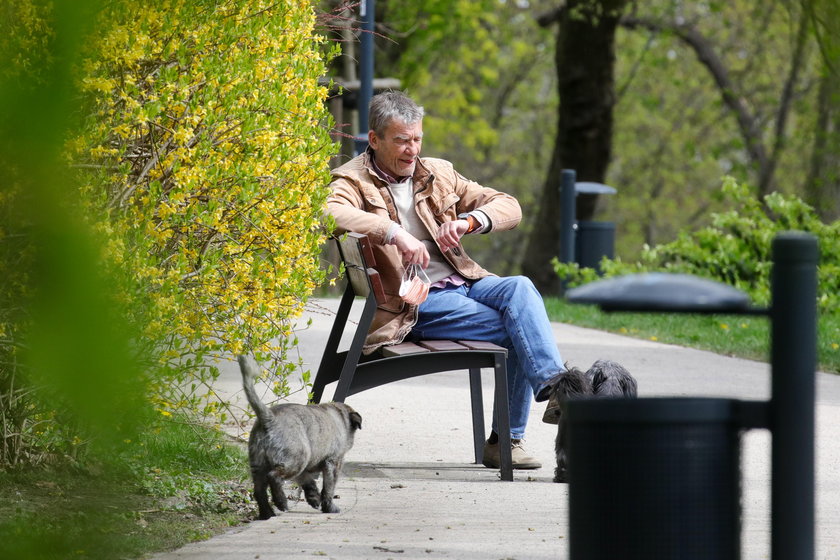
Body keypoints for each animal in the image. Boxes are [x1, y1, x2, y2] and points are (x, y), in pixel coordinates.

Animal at [240, 356, 364, 520]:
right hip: (296, 459)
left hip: (259, 465)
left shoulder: (308, 467)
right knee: (274, 476)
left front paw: (314, 498)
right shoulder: (333, 462)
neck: (341, 417)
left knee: (259, 491)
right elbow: (329, 488)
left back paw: (268, 514)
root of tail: (269, 418)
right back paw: (281, 502)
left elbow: (307, 480)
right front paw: (329, 507)